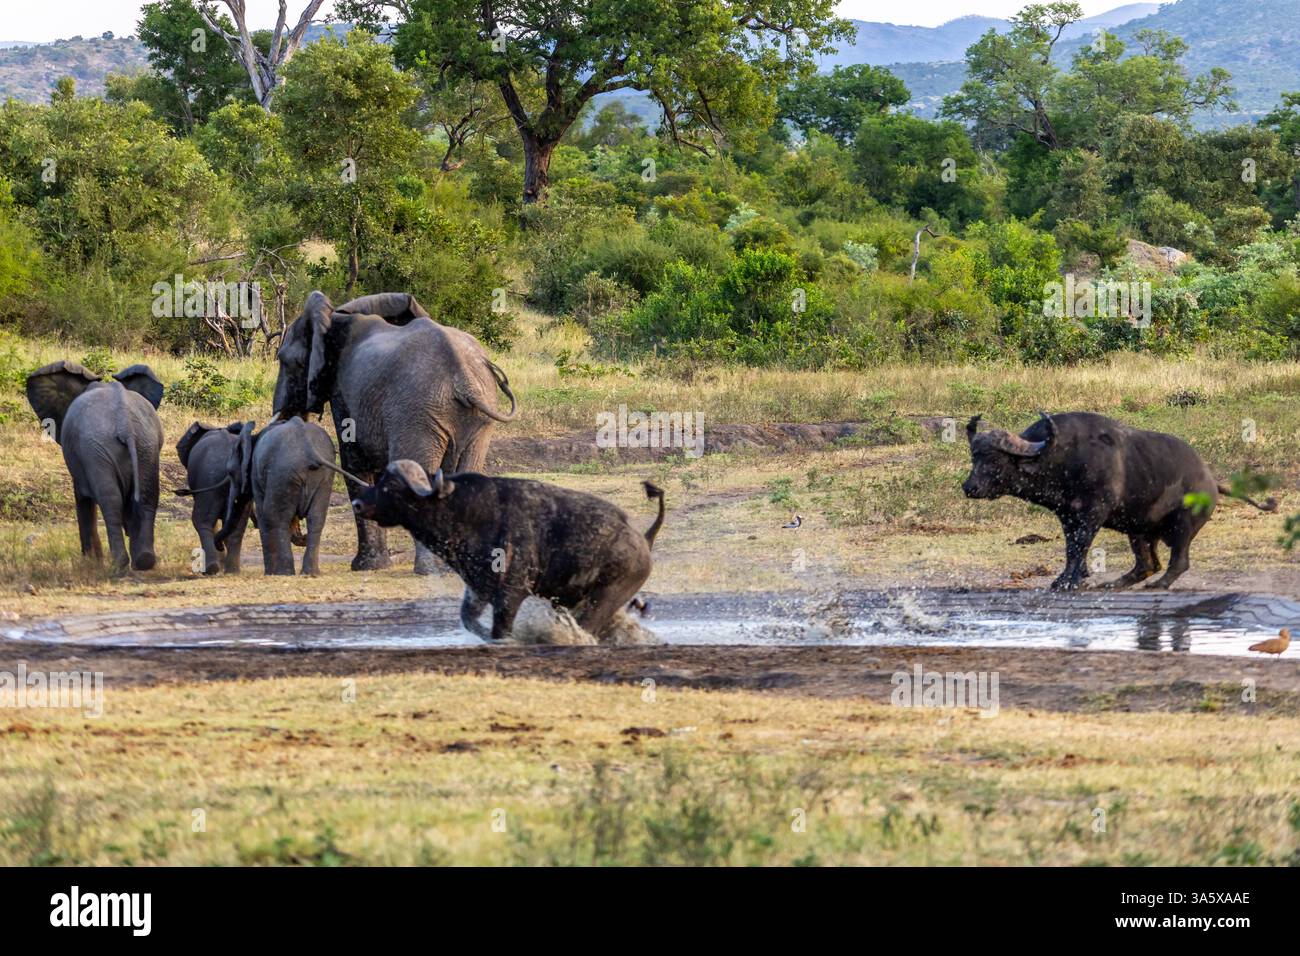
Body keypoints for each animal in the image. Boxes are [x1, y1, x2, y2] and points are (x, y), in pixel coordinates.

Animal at [963, 411, 1276, 590]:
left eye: (994, 460)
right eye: (974, 456)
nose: (969, 487)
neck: (1059, 457)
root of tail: (1212, 482)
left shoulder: (1093, 513)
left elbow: (1080, 546)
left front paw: (1070, 581)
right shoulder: (1068, 516)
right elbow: (1071, 548)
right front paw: (1070, 577)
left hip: (1183, 527)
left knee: (1178, 562)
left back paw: (1158, 585)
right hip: (1139, 531)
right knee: (1147, 564)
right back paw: (1114, 583)